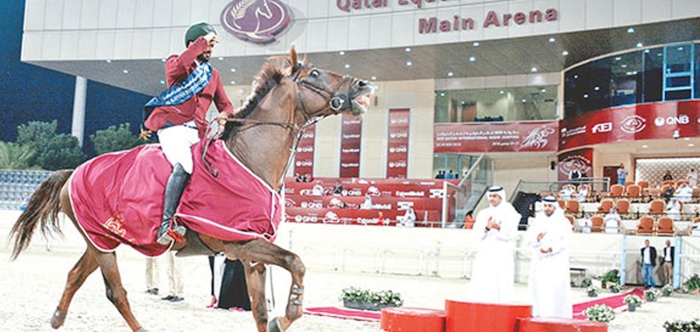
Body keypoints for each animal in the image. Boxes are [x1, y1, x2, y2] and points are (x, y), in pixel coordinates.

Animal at [8, 47, 374, 332]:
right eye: (315, 73)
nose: (362, 85)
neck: (249, 158)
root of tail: (74, 172)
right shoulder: (242, 243)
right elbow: (296, 264)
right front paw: (287, 313)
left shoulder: (251, 255)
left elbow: (259, 311)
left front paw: (274, 318)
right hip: (103, 244)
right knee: (116, 292)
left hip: (100, 239)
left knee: (75, 276)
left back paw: (57, 319)